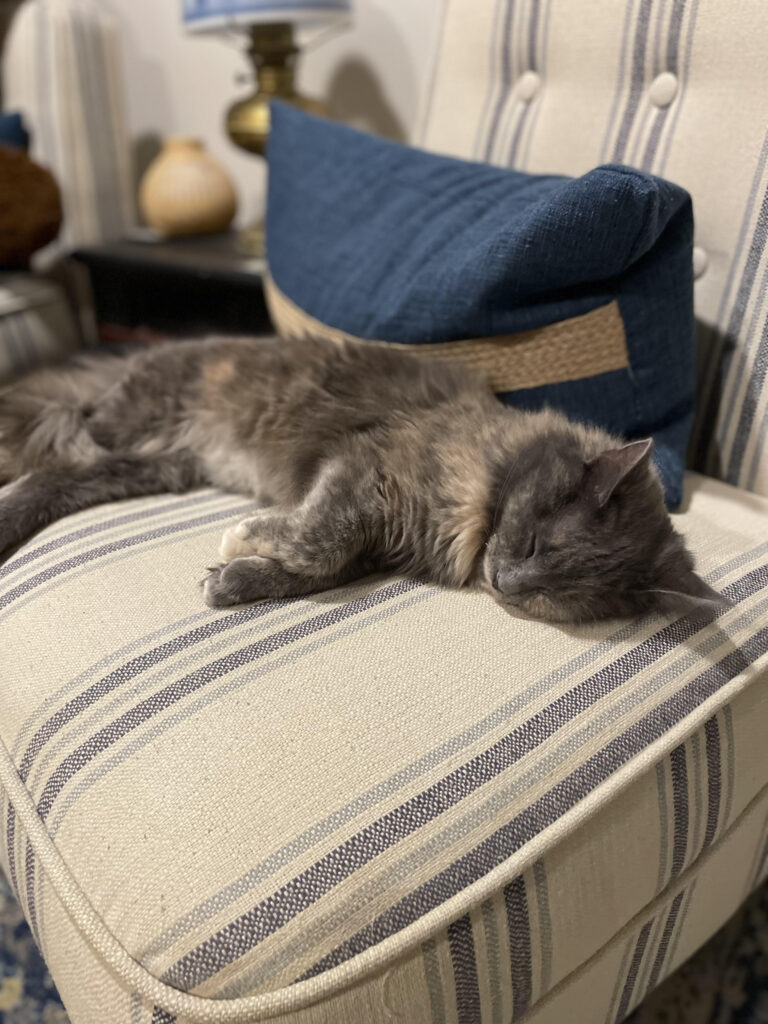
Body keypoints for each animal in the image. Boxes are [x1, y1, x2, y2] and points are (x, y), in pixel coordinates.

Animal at [0, 335, 729, 622]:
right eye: (531, 547)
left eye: (553, 594)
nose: (505, 583)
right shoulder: (363, 467)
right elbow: (319, 537)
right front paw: (245, 537)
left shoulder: (376, 534)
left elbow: (321, 566)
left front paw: (236, 578)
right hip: (114, 427)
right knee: (49, 449)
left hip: (147, 464)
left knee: (53, 482)